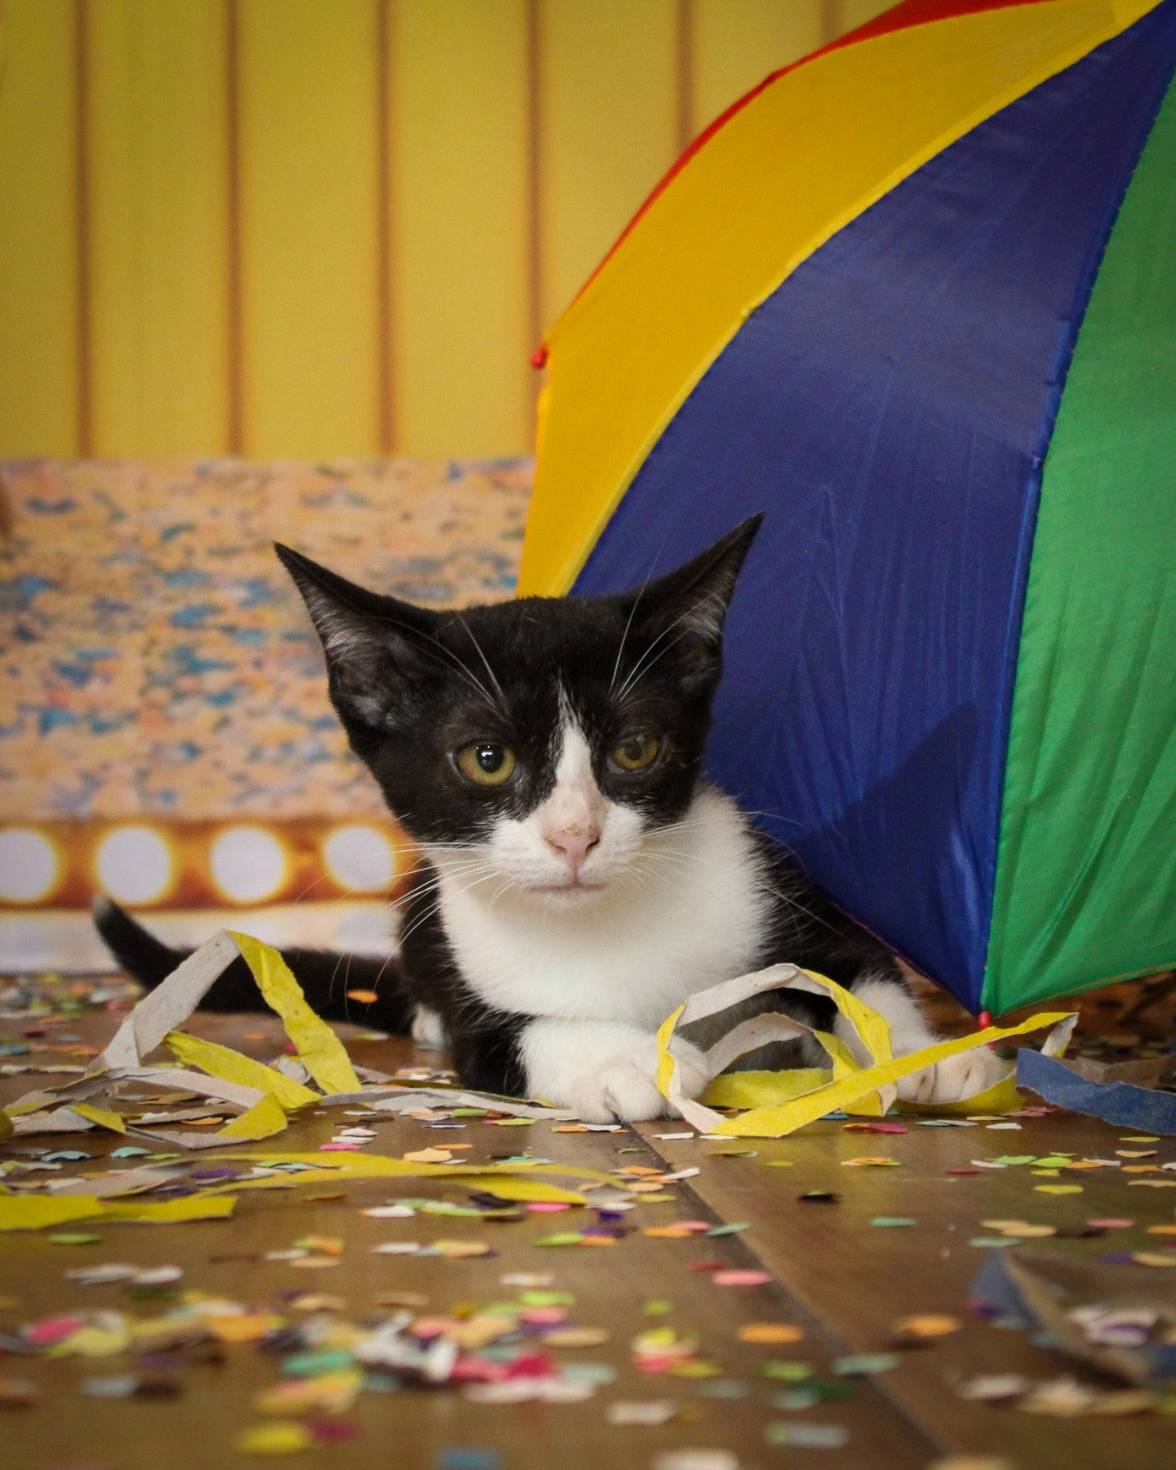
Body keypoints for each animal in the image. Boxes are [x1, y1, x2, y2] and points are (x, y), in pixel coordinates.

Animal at [95, 516, 1002, 1121]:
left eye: (634, 748)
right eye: (486, 759)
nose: (575, 835)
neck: (605, 929)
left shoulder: (783, 888)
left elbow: (860, 970)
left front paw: (920, 1054)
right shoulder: (478, 998)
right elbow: (518, 1036)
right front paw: (626, 1058)